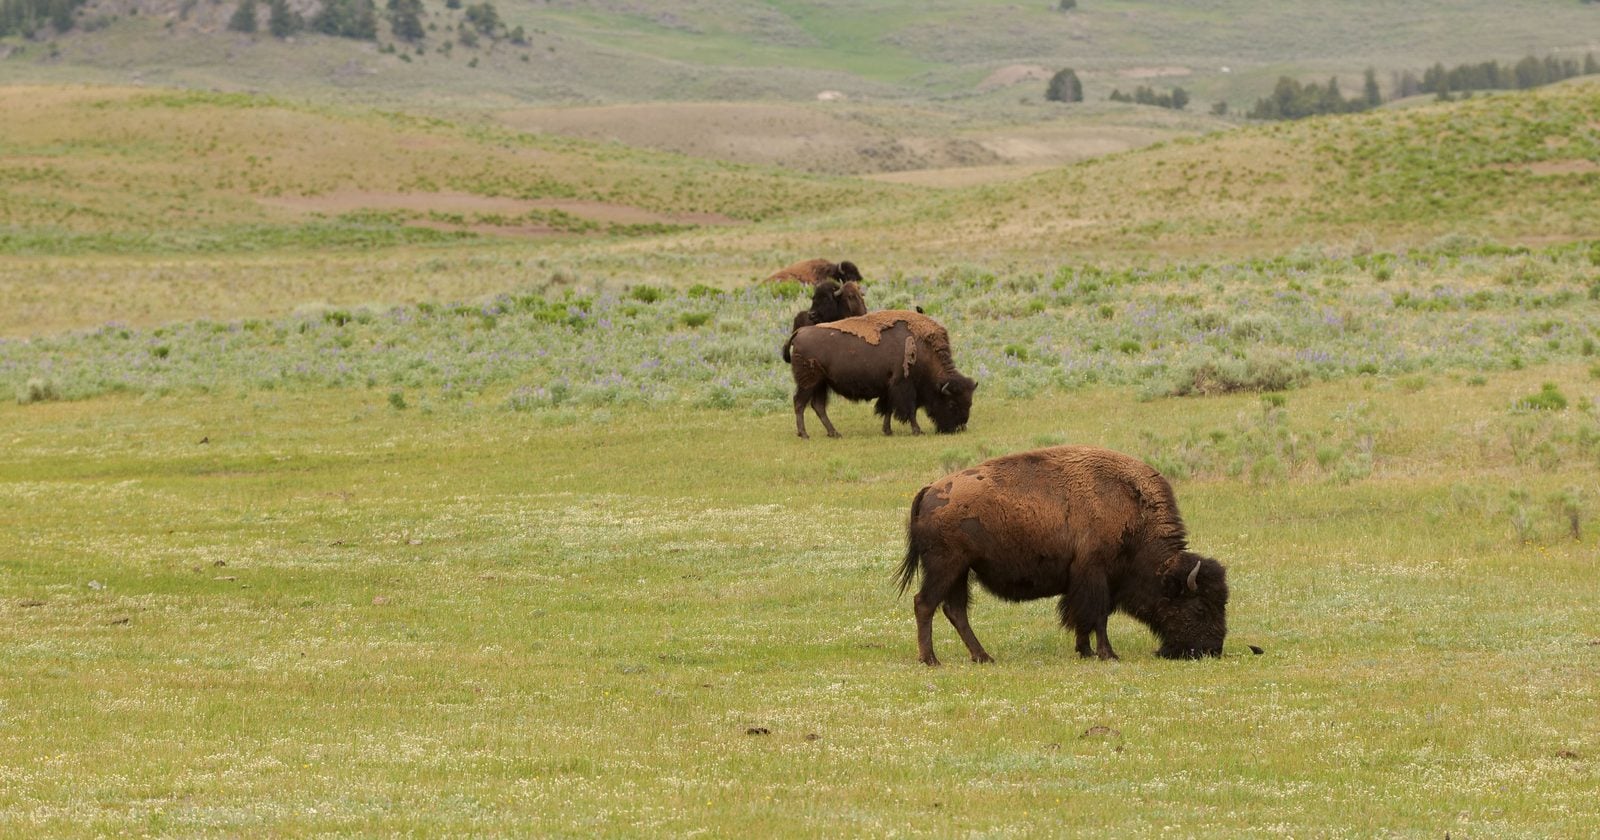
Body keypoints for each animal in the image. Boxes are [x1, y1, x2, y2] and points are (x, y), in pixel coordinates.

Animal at [787, 310, 976, 439]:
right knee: (800, 403)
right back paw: (804, 434)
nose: (958, 427)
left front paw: (888, 430)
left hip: (821, 384)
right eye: (951, 403)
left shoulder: (890, 388)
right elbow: (909, 410)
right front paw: (917, 430)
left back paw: (834, 433)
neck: (924, 349)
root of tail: (799, 333)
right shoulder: (904, 386)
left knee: (818, 406)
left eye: (969, 403)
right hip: (809, 383)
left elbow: (888, 409)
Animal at [897, 445, 1229, 665]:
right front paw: (1108, 654)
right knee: (925, 603)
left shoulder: (1087, 580)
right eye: (1200, 607)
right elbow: (1098, 616)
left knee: (955, 611)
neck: (1133, 511)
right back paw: (931, 660)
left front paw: (1085, 650)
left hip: (960, 571)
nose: (1212, 649)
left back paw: (983, 657)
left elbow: (1086, 617)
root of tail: (929, 490)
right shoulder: (1096, 575)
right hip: (945, 566)